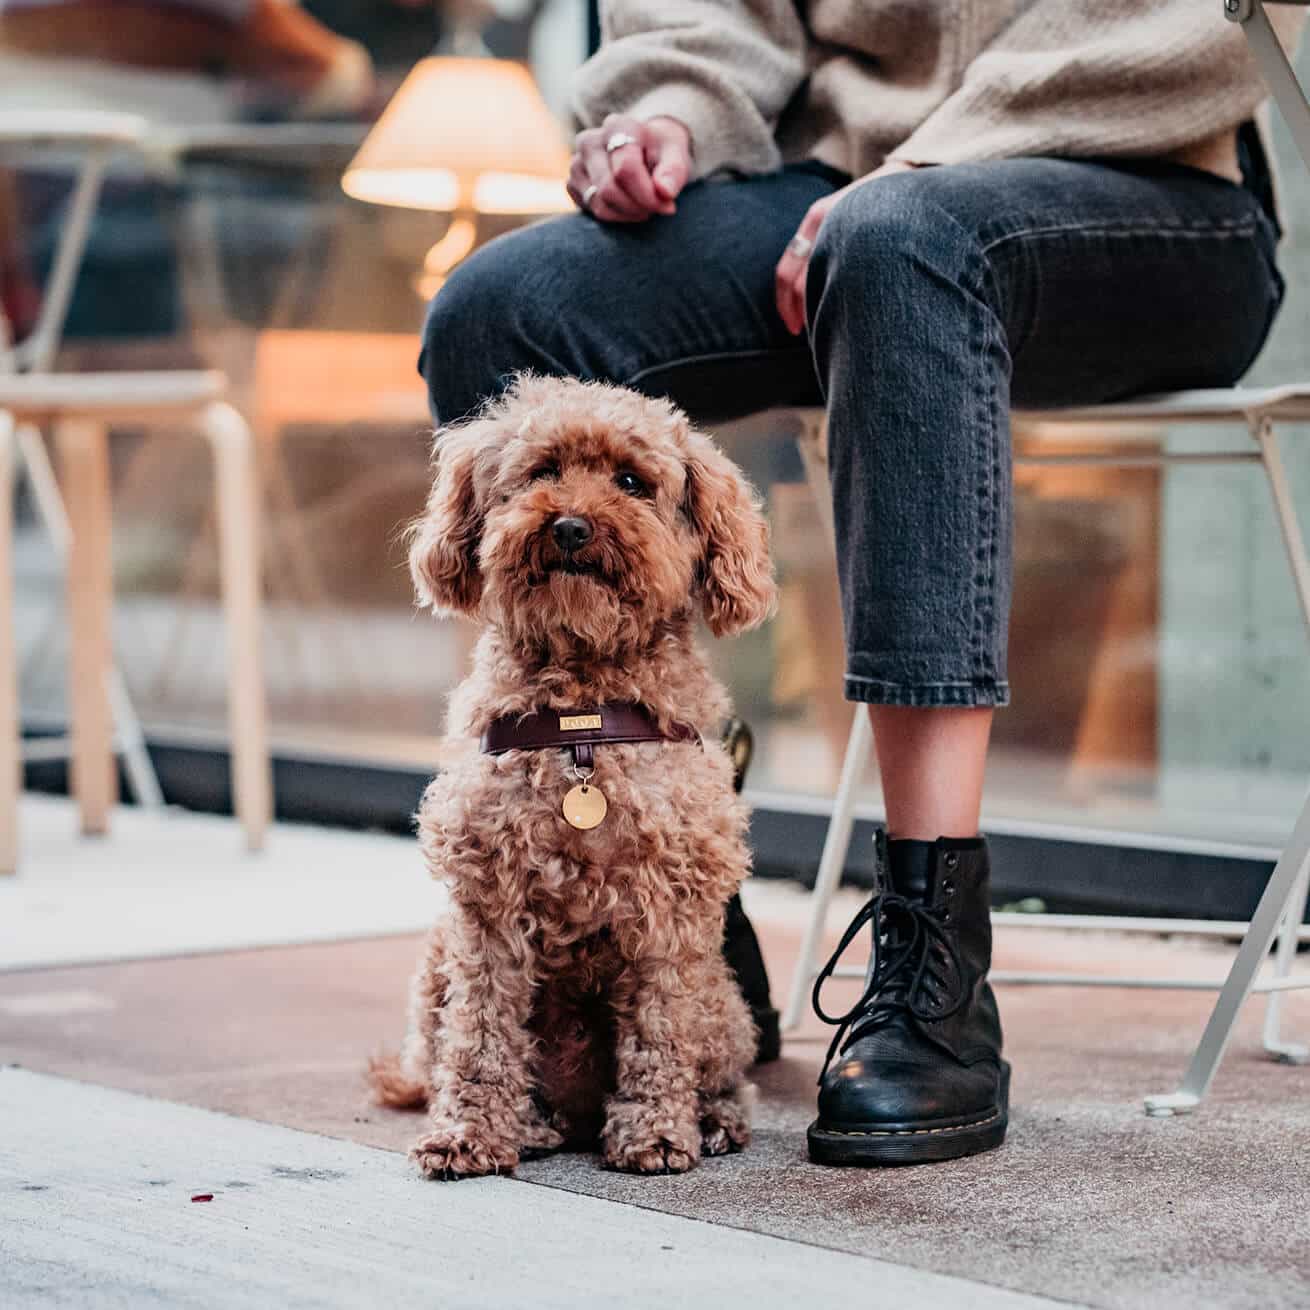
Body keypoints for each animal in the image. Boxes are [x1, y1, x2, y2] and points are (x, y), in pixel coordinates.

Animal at [366, 374, 775, 1184]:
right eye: (543, 471)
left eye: (633, 482)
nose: (571, 528)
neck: (583, 723)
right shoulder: (487, 910)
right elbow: (481, 1037)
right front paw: (468, 1135)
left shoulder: (672, 911)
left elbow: (658, 1030)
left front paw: (656, 1133)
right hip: (434, 970)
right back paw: (530, 1125)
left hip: (723, 1002)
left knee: (721, 1071)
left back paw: (712, 1119)